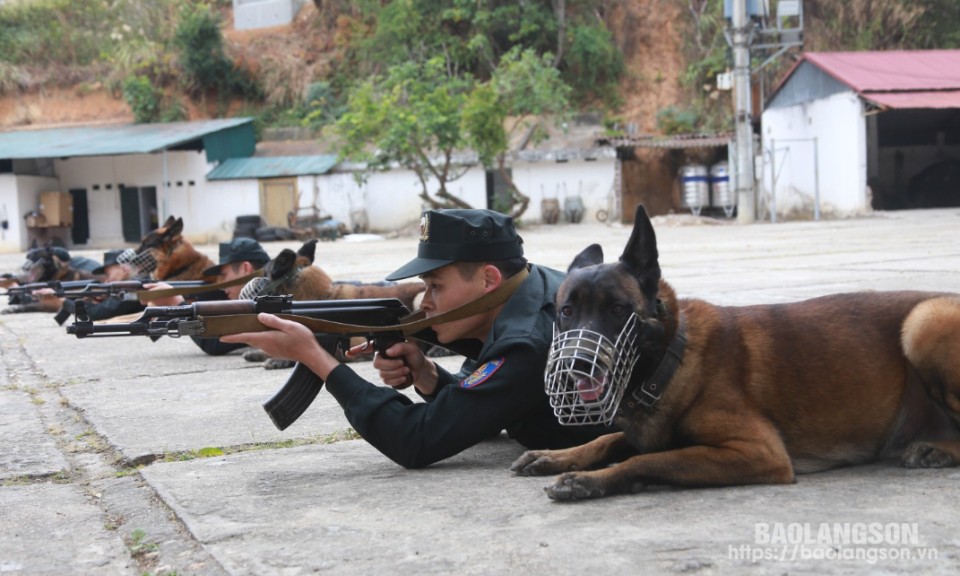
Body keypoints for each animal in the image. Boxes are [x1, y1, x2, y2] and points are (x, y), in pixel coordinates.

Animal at [510, 206, 960, 500]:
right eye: (567, 312)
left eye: (618, 310)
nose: (575, 365)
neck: (672, 357)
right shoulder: (646, 431)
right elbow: (609, 439)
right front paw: (557, 456)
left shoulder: (759, 452)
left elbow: (649, 460)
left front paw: (590, 480)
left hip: (923, 321)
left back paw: (935, 450)